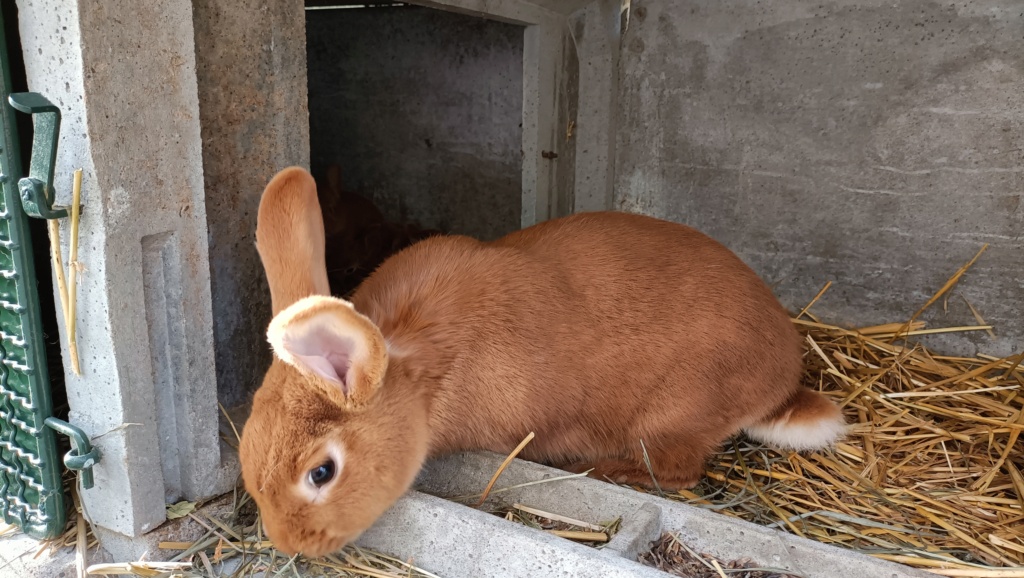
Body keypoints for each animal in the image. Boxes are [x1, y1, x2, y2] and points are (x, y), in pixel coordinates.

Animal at [237, 166, 839, 553]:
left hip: (676, 412)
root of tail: (782, 382)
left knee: (677, 469)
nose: (291, 544)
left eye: (322, 472)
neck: (417, 369)